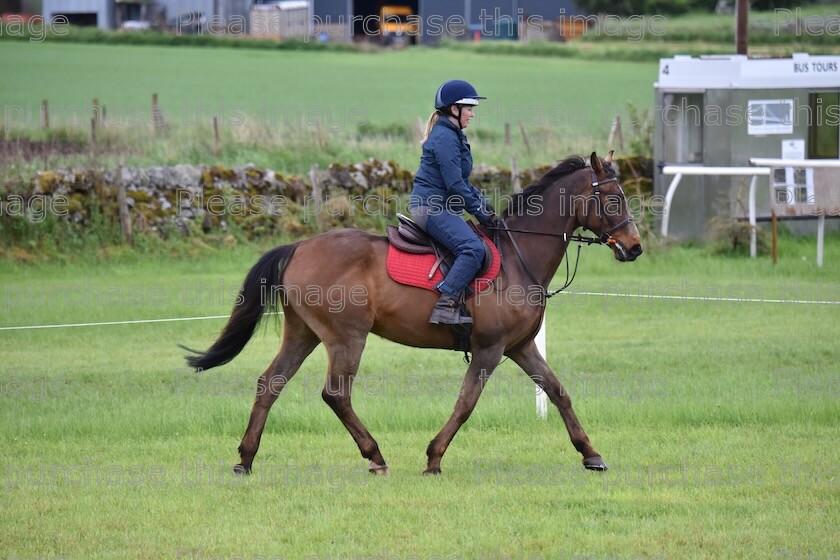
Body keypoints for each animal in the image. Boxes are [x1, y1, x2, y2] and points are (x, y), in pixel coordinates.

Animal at [184, 152, 644, 476]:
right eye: (613, 198)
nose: (635, 247)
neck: (518, 256)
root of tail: (299, 247)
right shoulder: (490, 349)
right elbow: (466, 403)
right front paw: (434, 458)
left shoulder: (521, 347)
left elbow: (558, 392)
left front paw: (591, 454)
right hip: (346, 338)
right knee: (335, 394)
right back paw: (374, 456)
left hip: (303, 334)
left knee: (270, 384)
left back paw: (245, 459)